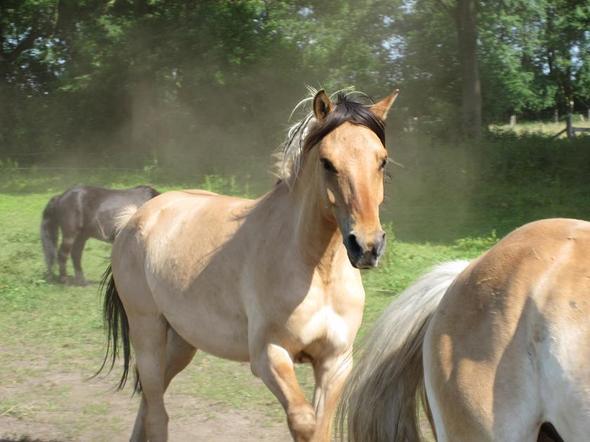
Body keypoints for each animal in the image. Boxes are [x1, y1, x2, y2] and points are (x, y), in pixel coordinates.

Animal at [100, 88, 398, 440]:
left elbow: (320, 428)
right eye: (327, 162)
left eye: (382, 160)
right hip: (147, 331)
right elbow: (304, 421)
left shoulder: (335, 362)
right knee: (157, 412)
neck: (316, 271)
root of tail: (135, 218)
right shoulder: (270, 355)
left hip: (181, 341)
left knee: (149, 399)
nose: (366, 246)